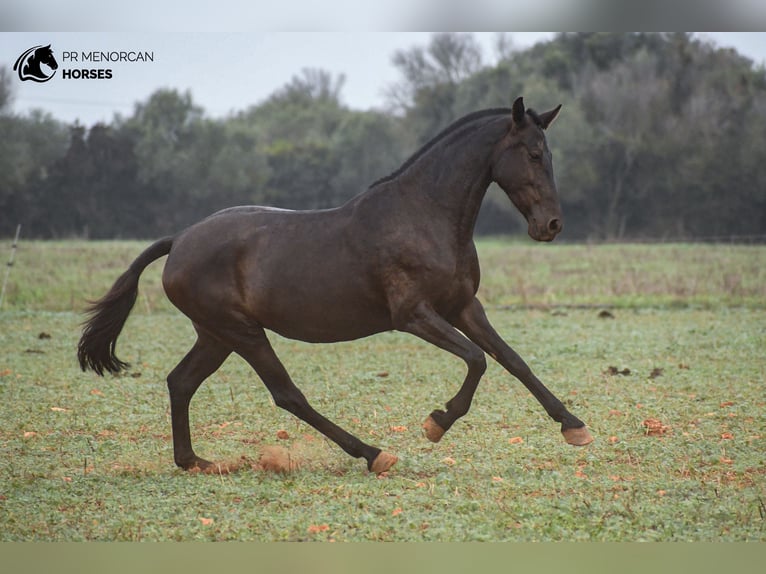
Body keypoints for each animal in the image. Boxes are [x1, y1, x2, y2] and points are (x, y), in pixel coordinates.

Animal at [78, 98, 592, 476]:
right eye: (532, 155)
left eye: (548, 154)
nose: (551, 225)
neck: (424, 216)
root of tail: (180, 240)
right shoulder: (413, 315)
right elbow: (477, 359)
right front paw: (436, 423)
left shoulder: (464, 306)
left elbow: (512, 360)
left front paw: (574, 426)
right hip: (241, 333)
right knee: (287, 394)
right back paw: (373, 454)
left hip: (216, 335)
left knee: (181, 381)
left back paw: (195, 462)